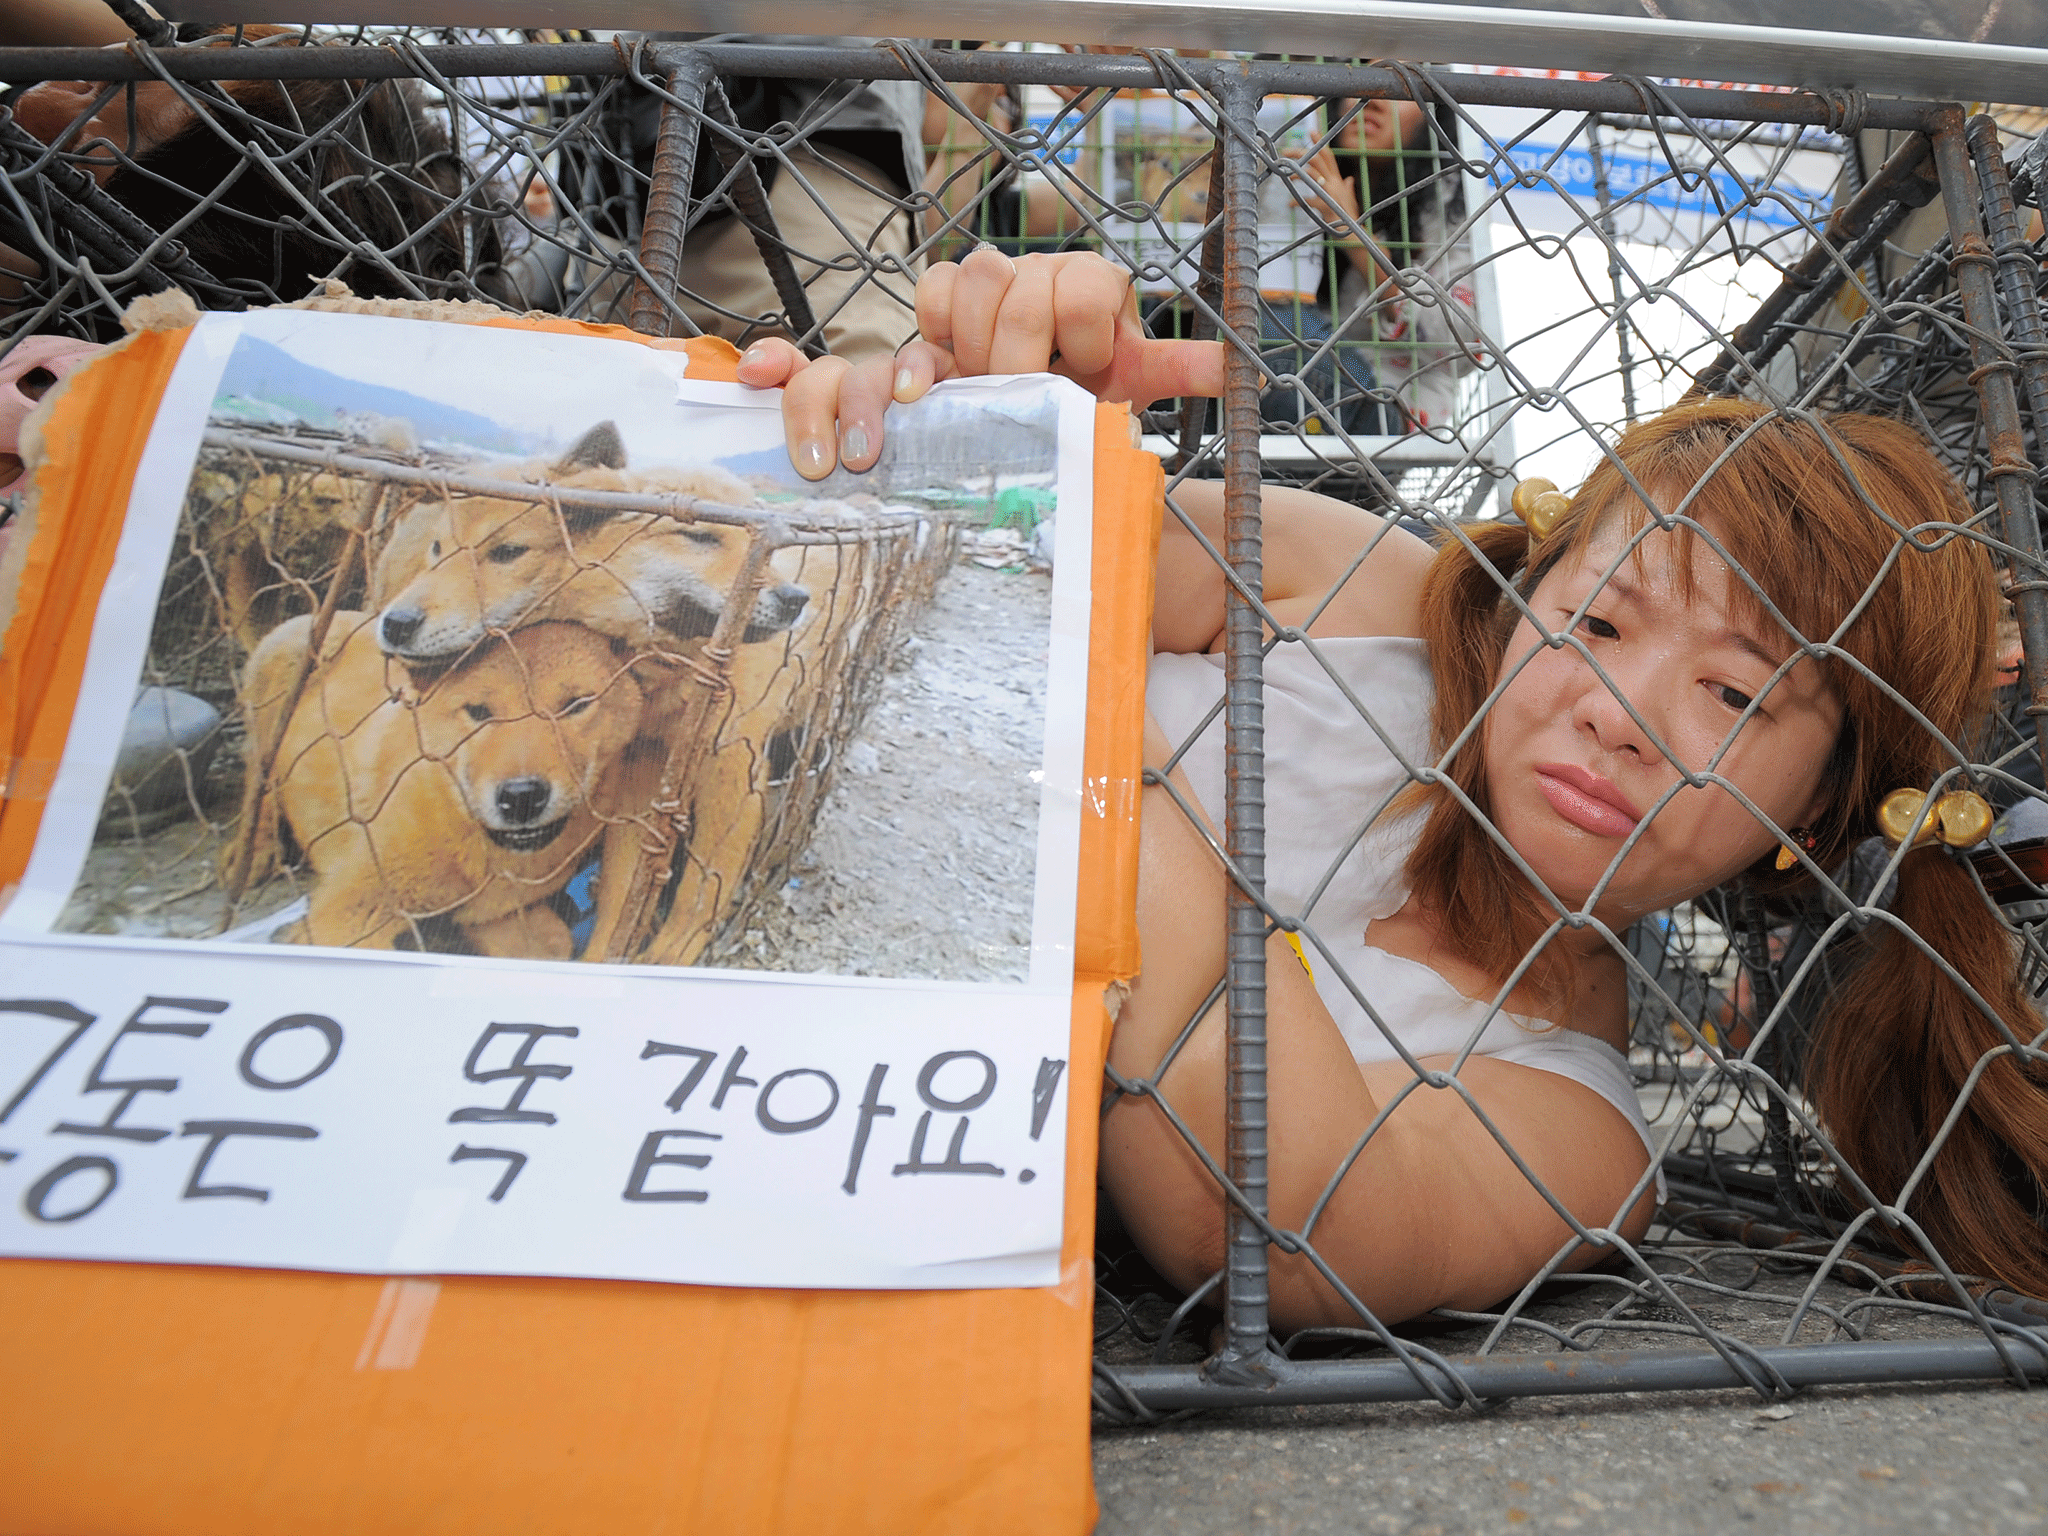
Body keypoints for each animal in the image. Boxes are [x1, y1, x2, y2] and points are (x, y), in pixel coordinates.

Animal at [235, 610, 643, 950]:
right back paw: (252, 852)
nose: (522, 796)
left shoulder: (502, 913)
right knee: (258, 773)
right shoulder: (346, 914)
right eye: (478, 711)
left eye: (576, 705)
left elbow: (552, 939)